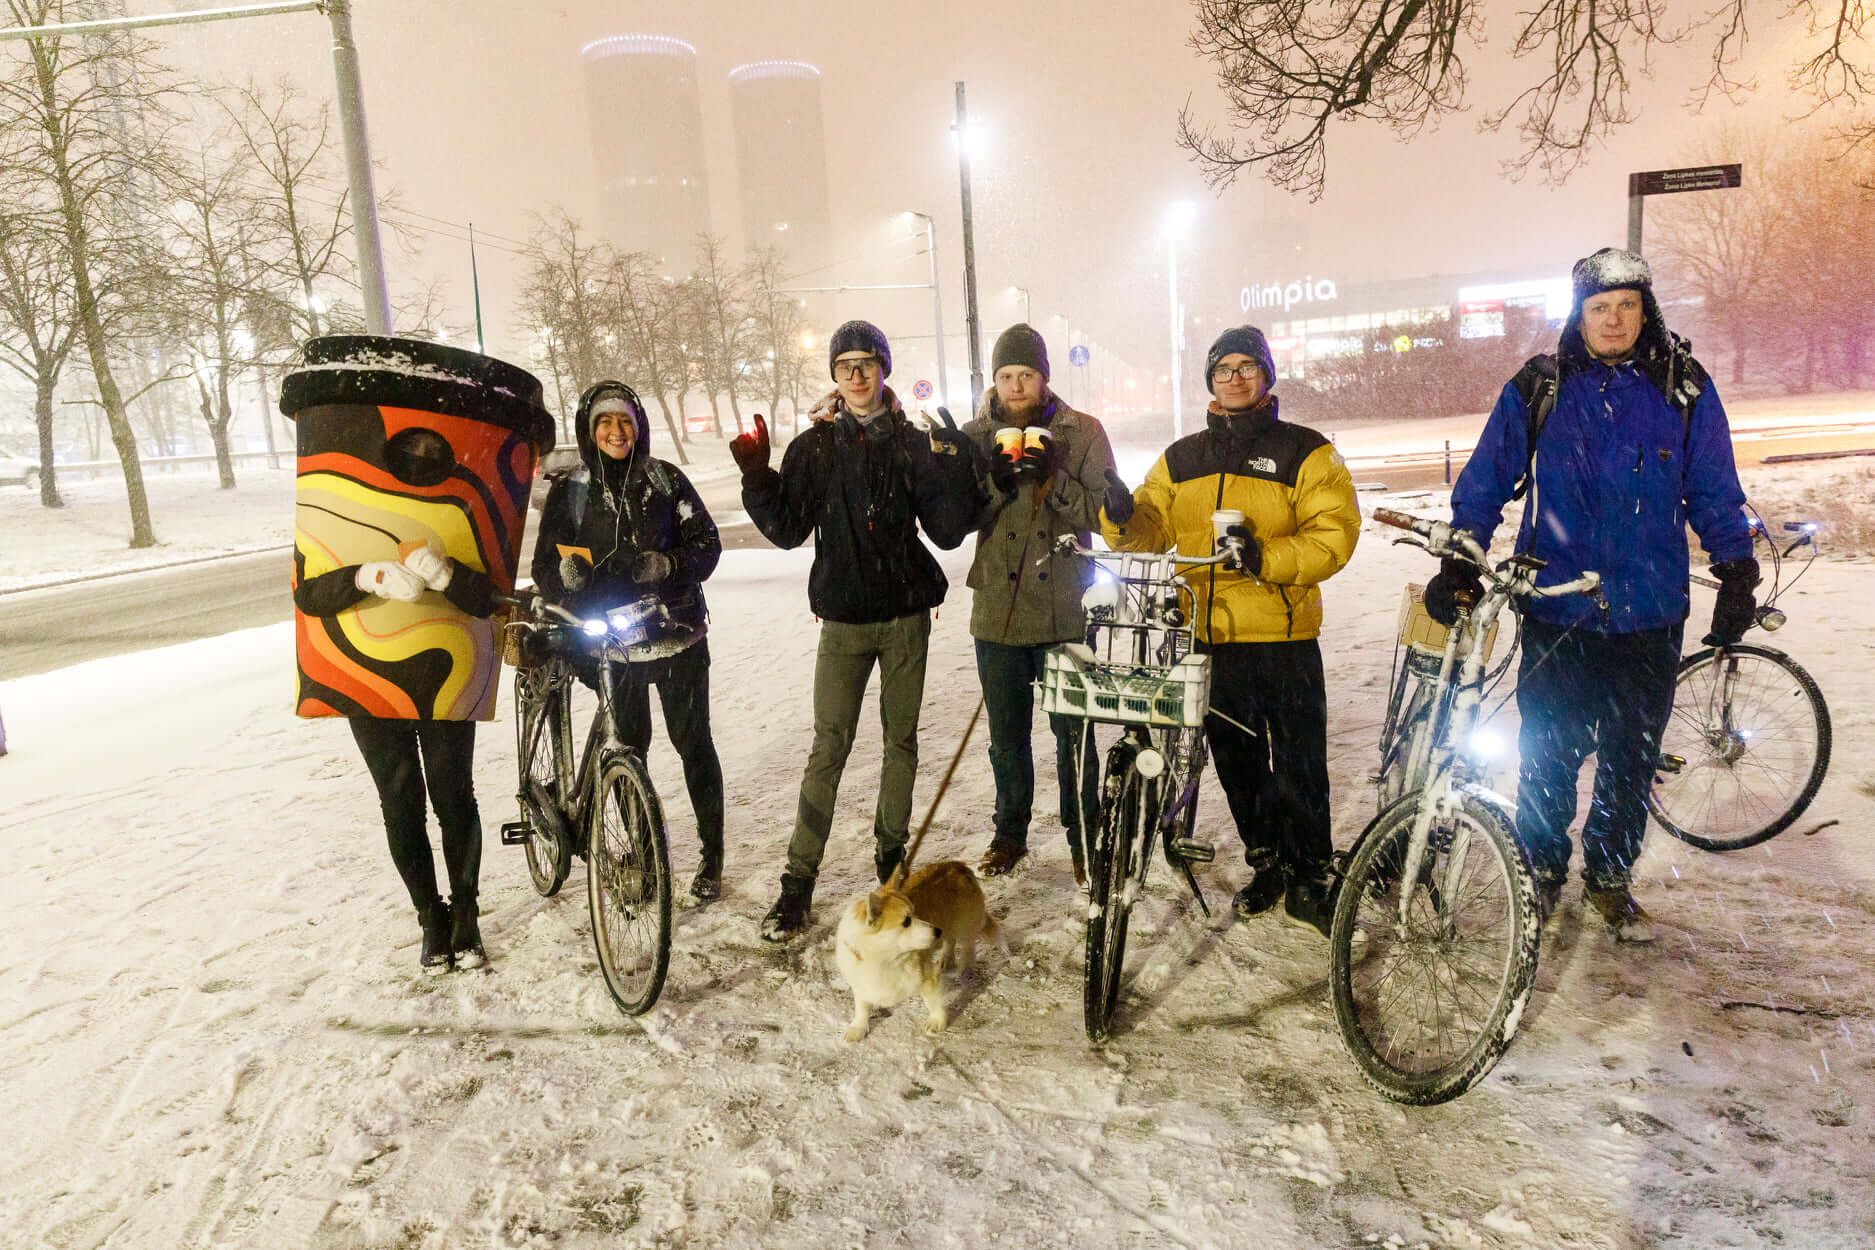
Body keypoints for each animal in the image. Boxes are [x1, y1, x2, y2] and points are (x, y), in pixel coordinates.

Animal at [834, 860, 1000, 1043]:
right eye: (906, 921)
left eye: (914, 912)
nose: (937, 931)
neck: (886, 959)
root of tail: (957, 864)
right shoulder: (861, 985)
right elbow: (862, 1007)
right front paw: (858, 1028)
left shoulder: (928, 976)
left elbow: (932, 1002)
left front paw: (937, 1022)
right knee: (950, 940)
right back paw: (947, 959)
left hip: (964, 926)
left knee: (968, 946)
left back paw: (965, 968)